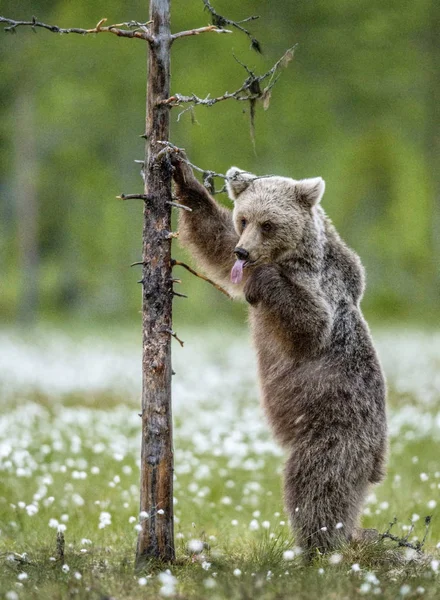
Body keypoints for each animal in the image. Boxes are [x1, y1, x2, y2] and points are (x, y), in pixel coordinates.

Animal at [170, 150, 386, 556]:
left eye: (269, 224)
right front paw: (182, 176)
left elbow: (310, 323)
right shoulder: (235, 253)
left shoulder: (320, 290)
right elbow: (215, 239)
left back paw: (319, 547)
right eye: (244, 218)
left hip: (337, 431)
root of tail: (378, 458)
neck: (291, 255)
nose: (244, 249)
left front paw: (262, 282)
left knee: (317, 486)